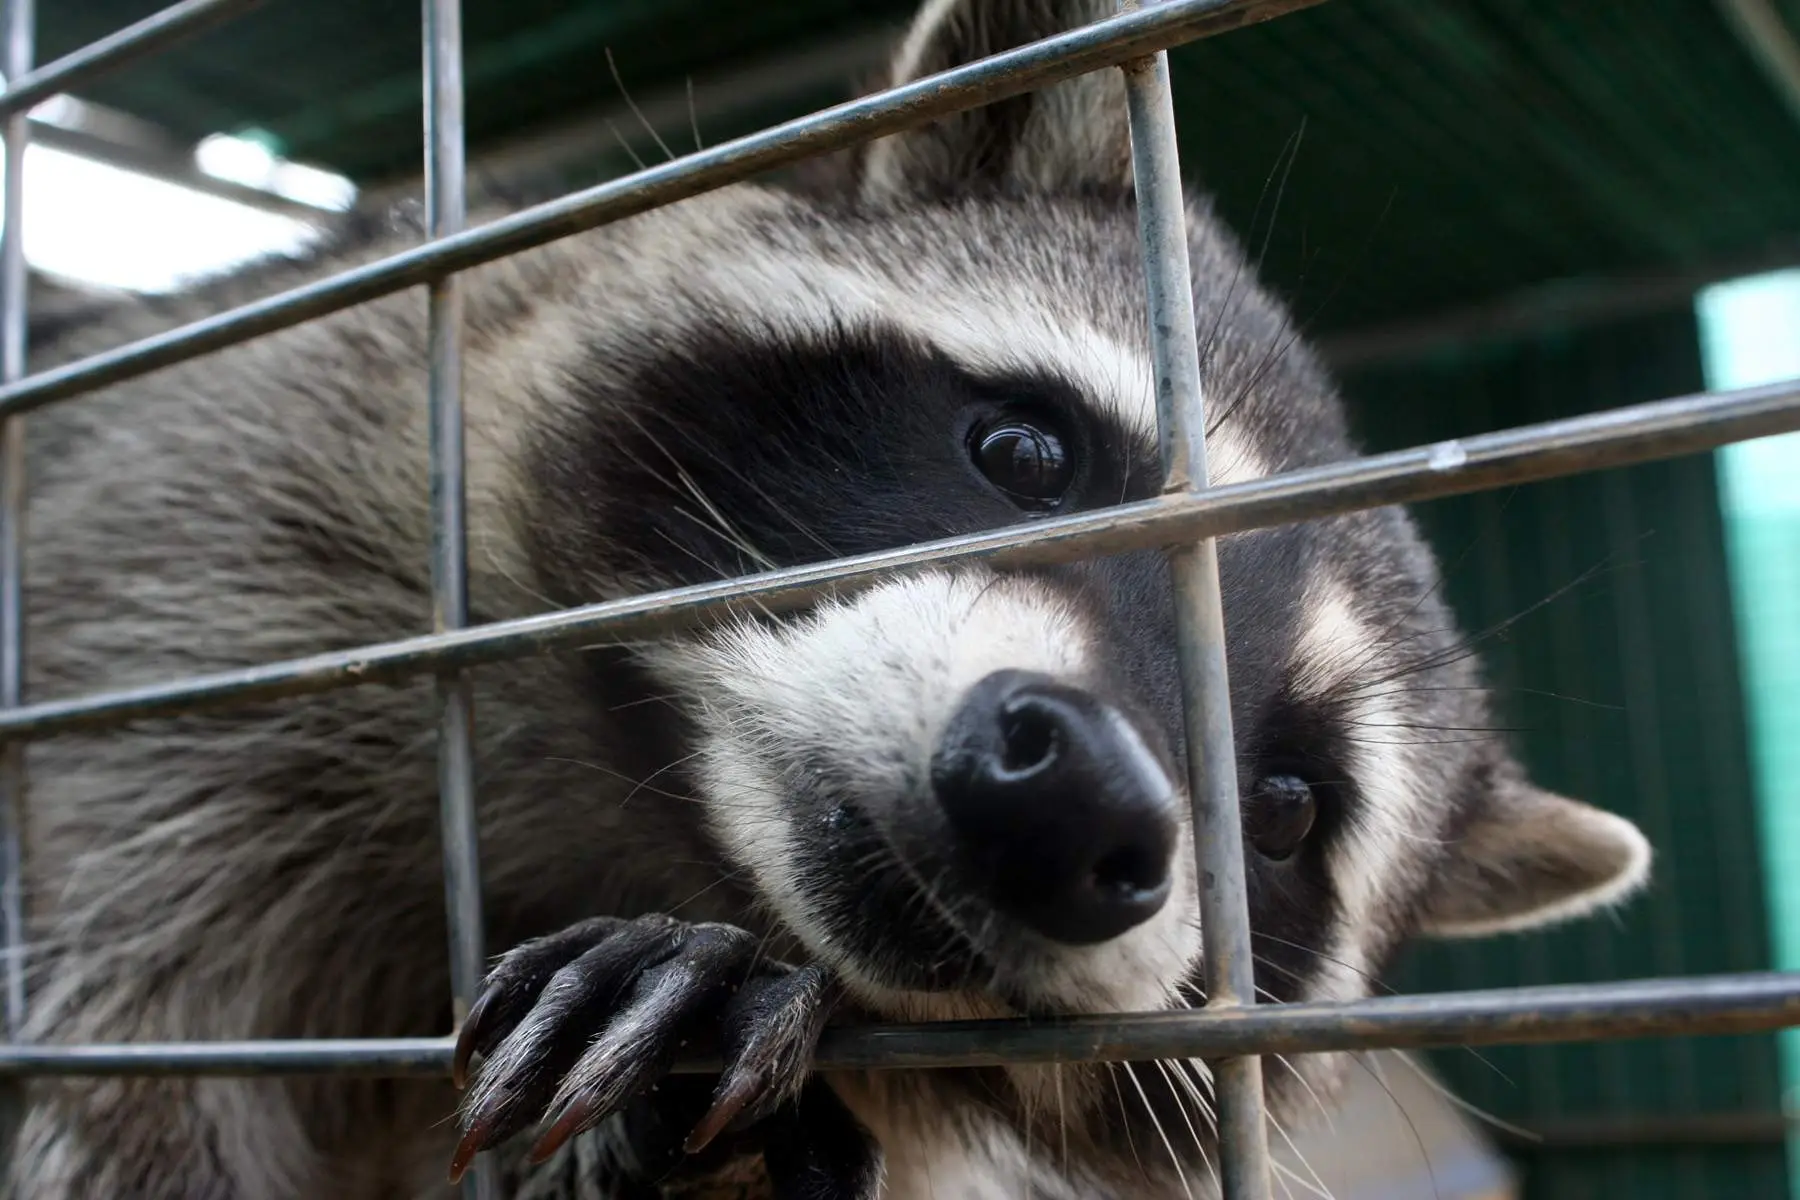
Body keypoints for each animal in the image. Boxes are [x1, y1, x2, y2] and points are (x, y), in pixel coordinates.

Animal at [7, 0, 1651, 1196]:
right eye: (1025, 452)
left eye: (1294, 811)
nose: (1082, 801)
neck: (670, 814)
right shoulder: (202, 552)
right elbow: (105, 1071)